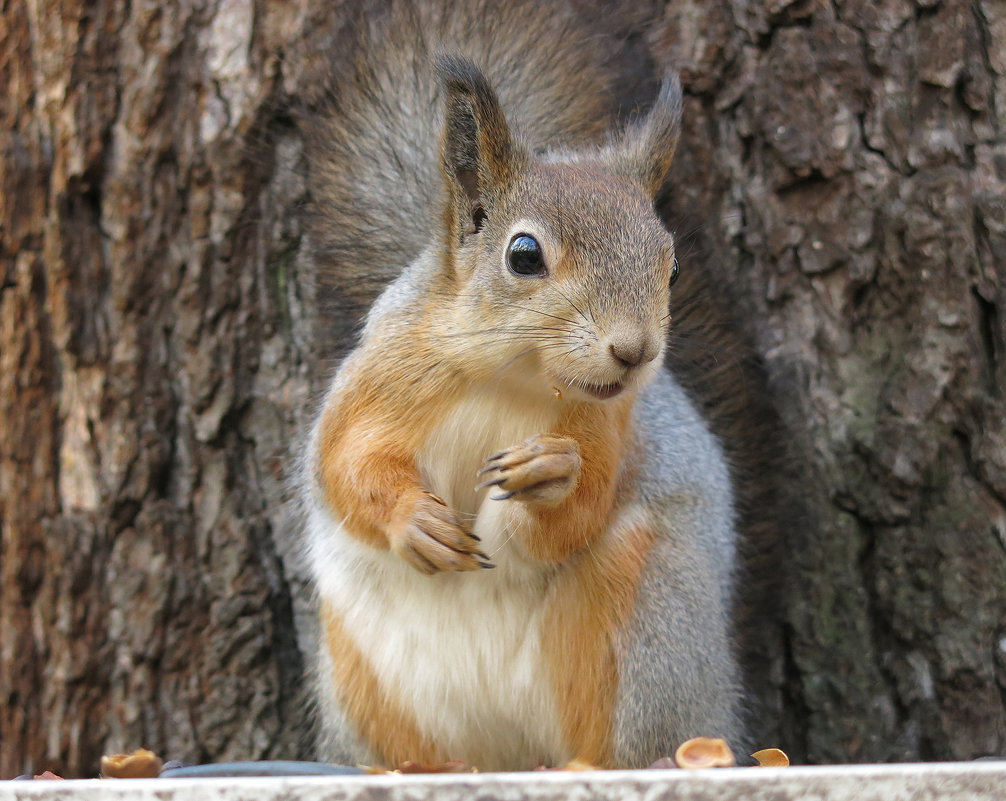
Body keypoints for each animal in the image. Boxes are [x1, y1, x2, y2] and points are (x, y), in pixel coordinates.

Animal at [299, 0, 756, 768]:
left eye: (669, 267)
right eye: (523, 255)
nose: (635, 352)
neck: (509, 378)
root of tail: (508, 755)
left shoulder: (611, 427)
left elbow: (577, 512)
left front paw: (552, 473)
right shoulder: (379, 384)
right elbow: (347, 466)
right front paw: (413, 519)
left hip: (644, 620)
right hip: (361, 672)